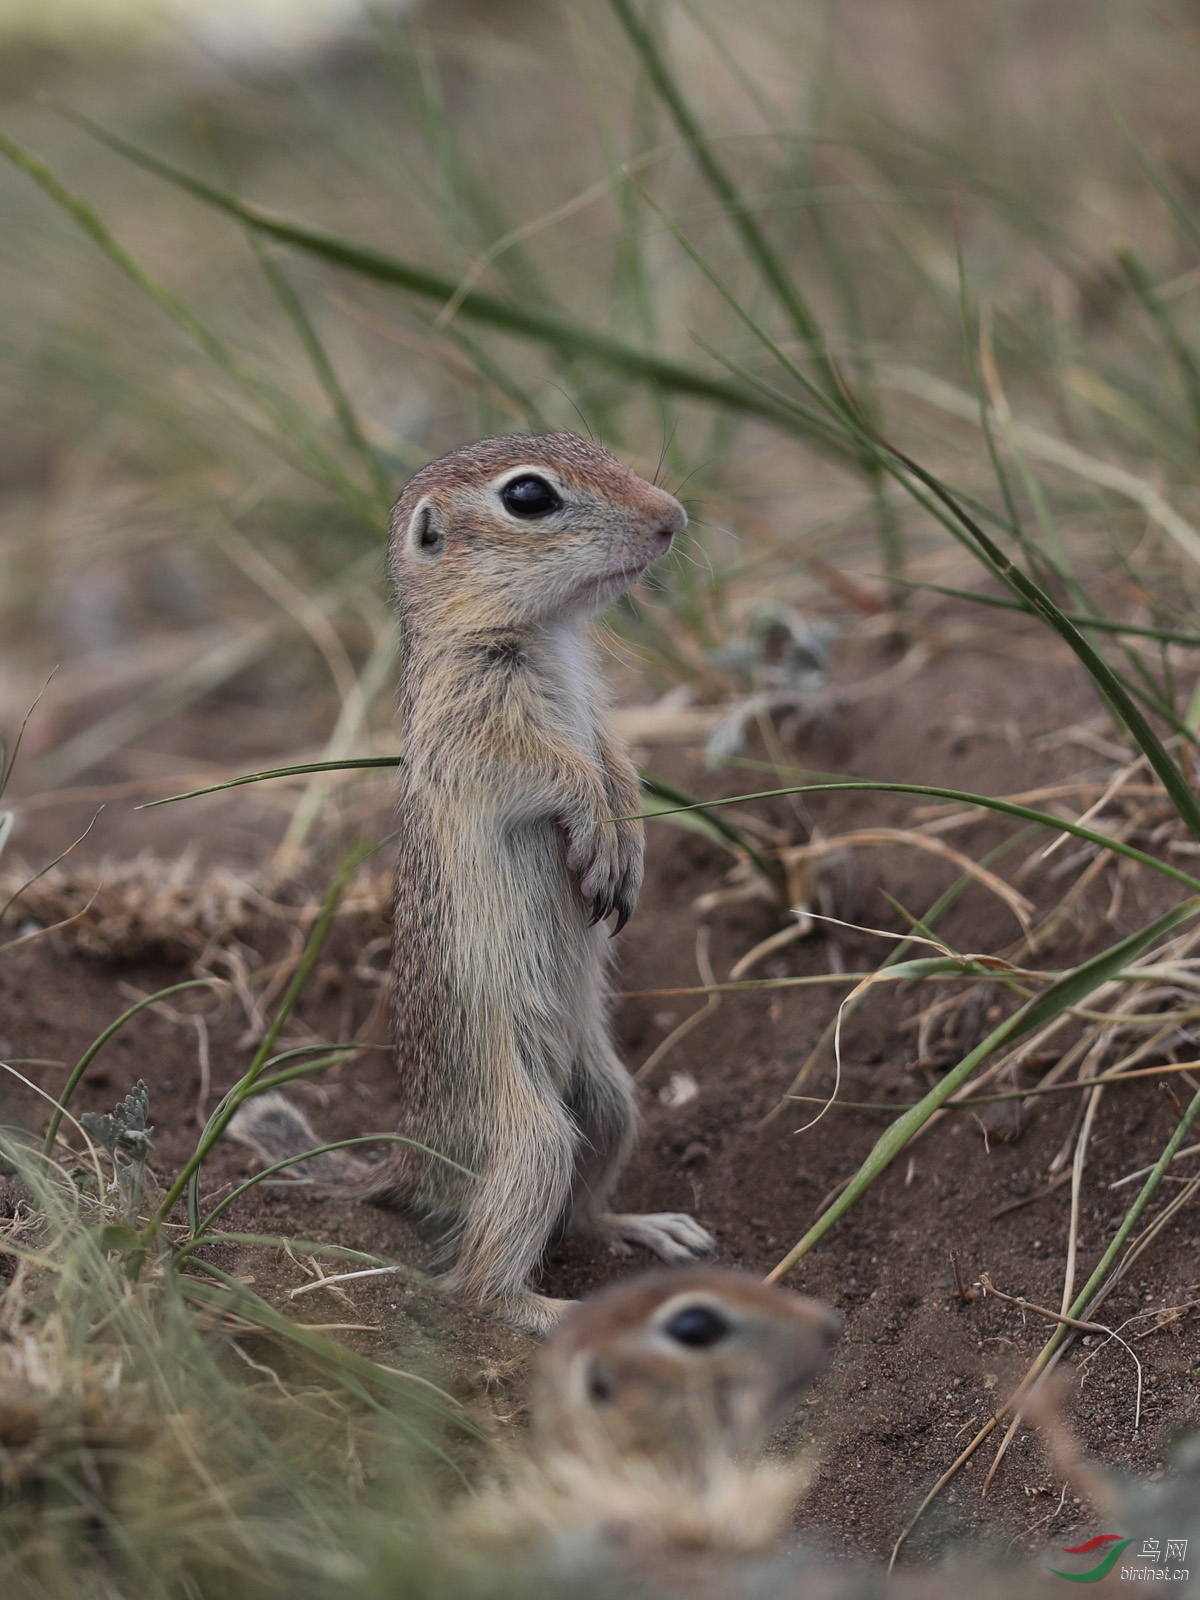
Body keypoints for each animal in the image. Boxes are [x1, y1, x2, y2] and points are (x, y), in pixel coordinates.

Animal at [232, 432, 713, 1331]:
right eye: (528, 497)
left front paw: (628, 838)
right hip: (533, 1137)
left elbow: (617, 759)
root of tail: (412, 1158)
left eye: (592, 444)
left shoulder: (596, 710)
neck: (547, 634)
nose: (674, 517)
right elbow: (557, 772)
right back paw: (549, 1311)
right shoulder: (478, 727)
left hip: (608, 1100)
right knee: (478, 1285)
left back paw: (644, 1225)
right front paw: (597, 827)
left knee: (584, 1213)